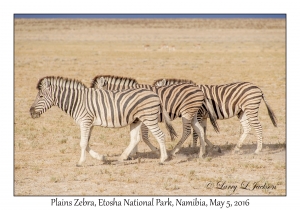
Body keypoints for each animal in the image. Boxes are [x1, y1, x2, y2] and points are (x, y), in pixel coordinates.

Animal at [29, 75, 177, 166]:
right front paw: (101, 157)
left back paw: (162, 159)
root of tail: (155, 94)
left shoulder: (85, 121)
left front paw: (80, 162)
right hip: (136, 120)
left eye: (40, 96)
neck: (77, 101)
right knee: (135, 139)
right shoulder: (89, 123)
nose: (31, 112)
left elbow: (83, 143)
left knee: (160, 136)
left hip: (149, 118)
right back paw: (121, 158)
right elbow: (87, 143)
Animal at [90, 74, 219, 158]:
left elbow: (144, 137)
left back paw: (173, 152)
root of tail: (199, 90)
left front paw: (156, 152)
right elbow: (138, 136)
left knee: (187, 131)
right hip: (192, 114)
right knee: (200, 130)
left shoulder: (143, 118)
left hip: (186, 113)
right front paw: (133, 153)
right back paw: (201, 153)